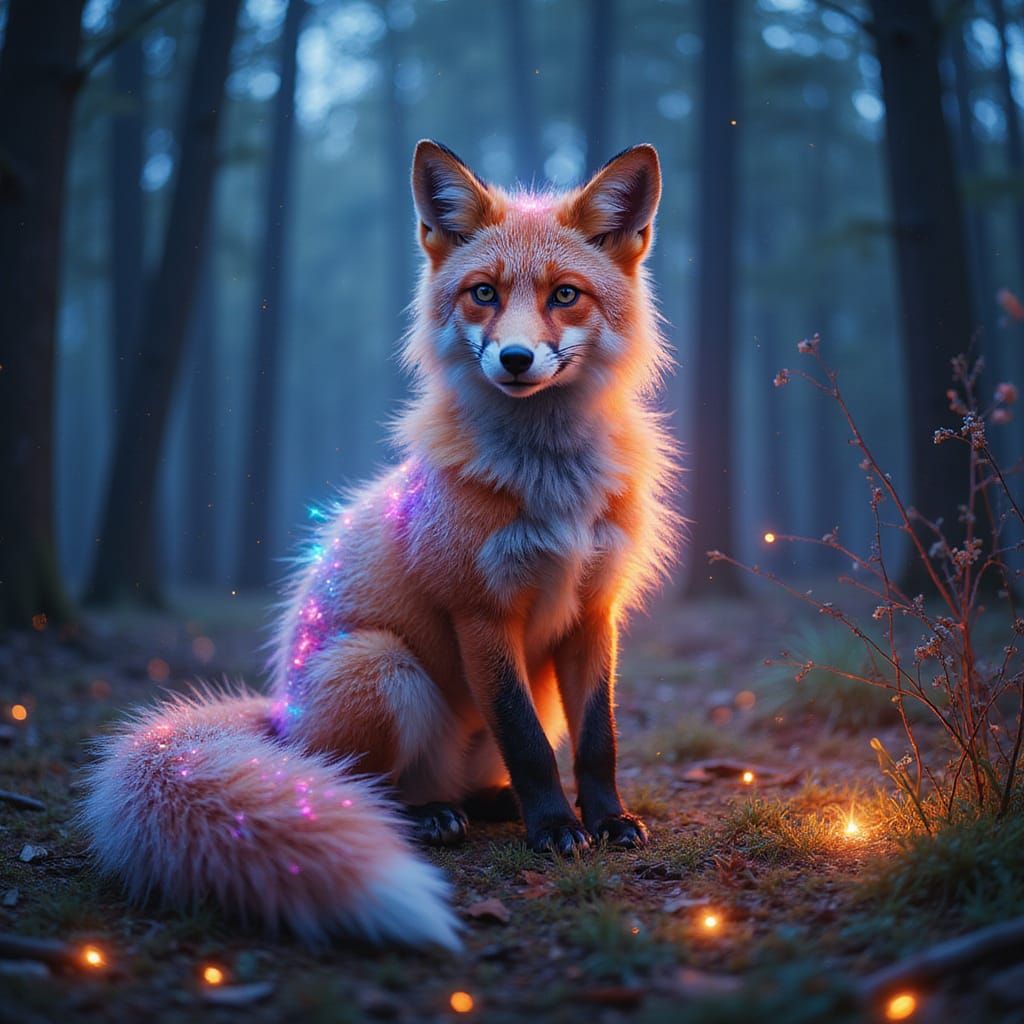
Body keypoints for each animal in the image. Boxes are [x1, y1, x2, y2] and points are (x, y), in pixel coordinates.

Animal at [81, 140, 677, 951]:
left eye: (565, 296)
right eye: (483, 294)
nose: (515, 359)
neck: (551, 484)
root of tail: (279, 717)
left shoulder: (593, 610)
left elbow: (595, 740)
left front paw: (607, 819)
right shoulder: (479, 612)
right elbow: (527, 742)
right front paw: (556, 828)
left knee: (472, 779)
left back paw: (487, 803)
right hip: (382, 665)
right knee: (365, 789)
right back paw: (430, 817)